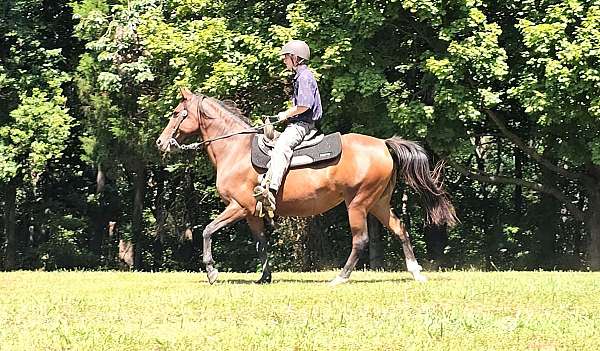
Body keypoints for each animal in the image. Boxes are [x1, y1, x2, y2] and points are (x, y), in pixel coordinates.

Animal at [157, 88, 458, 286]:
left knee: (360, 240)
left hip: (358, 203)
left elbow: (208, 230)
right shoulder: (253, 213)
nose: (160, 142)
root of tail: (384, 144)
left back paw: (340, 278)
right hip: (379, 203)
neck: (234, 149)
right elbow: (261, 243)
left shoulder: (239, 206)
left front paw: (211, 271)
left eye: (176, 113)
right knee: (400, 229)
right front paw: (264, 277)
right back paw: (416, 272)